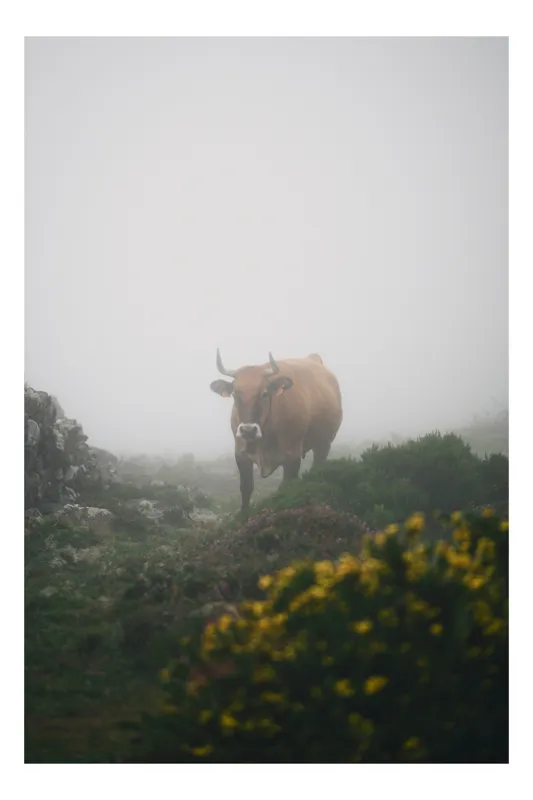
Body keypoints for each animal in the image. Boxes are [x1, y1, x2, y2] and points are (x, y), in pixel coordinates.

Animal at [210, 350, 343, 513]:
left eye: (264, 394)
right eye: (235, 395)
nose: (248, 430)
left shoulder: (292, 456)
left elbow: (285, 488)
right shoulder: (241, 454)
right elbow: (246, 488)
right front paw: (243, 515)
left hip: (324, 443)